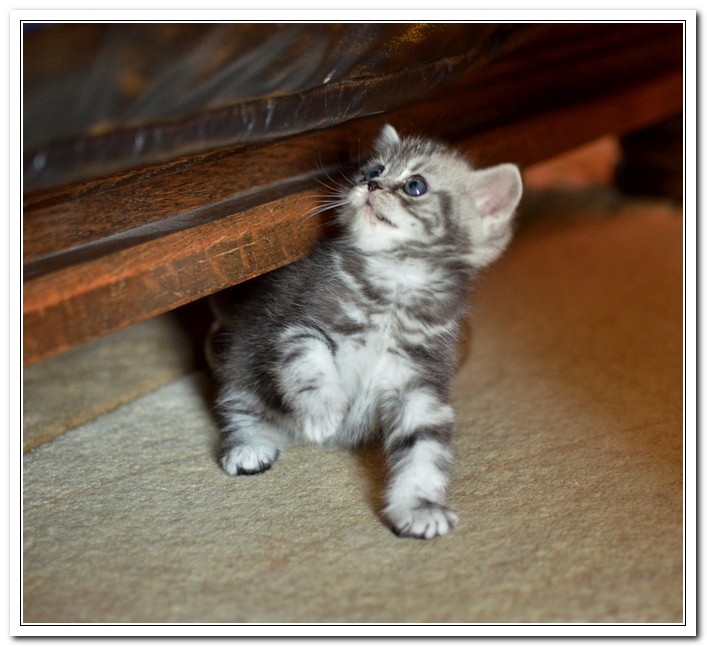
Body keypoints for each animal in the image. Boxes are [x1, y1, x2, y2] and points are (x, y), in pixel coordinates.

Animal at [209, 125, 522, 539]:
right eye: (373, 171)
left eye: (415, 186)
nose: (371, 185)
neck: (396, 282)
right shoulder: (298, 323)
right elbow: (309, 361)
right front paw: (324, 412)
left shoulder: (419, 384)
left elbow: (424, 449)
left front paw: (420, 507)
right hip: (244, 353)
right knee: (240, 402)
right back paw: (250, 445)